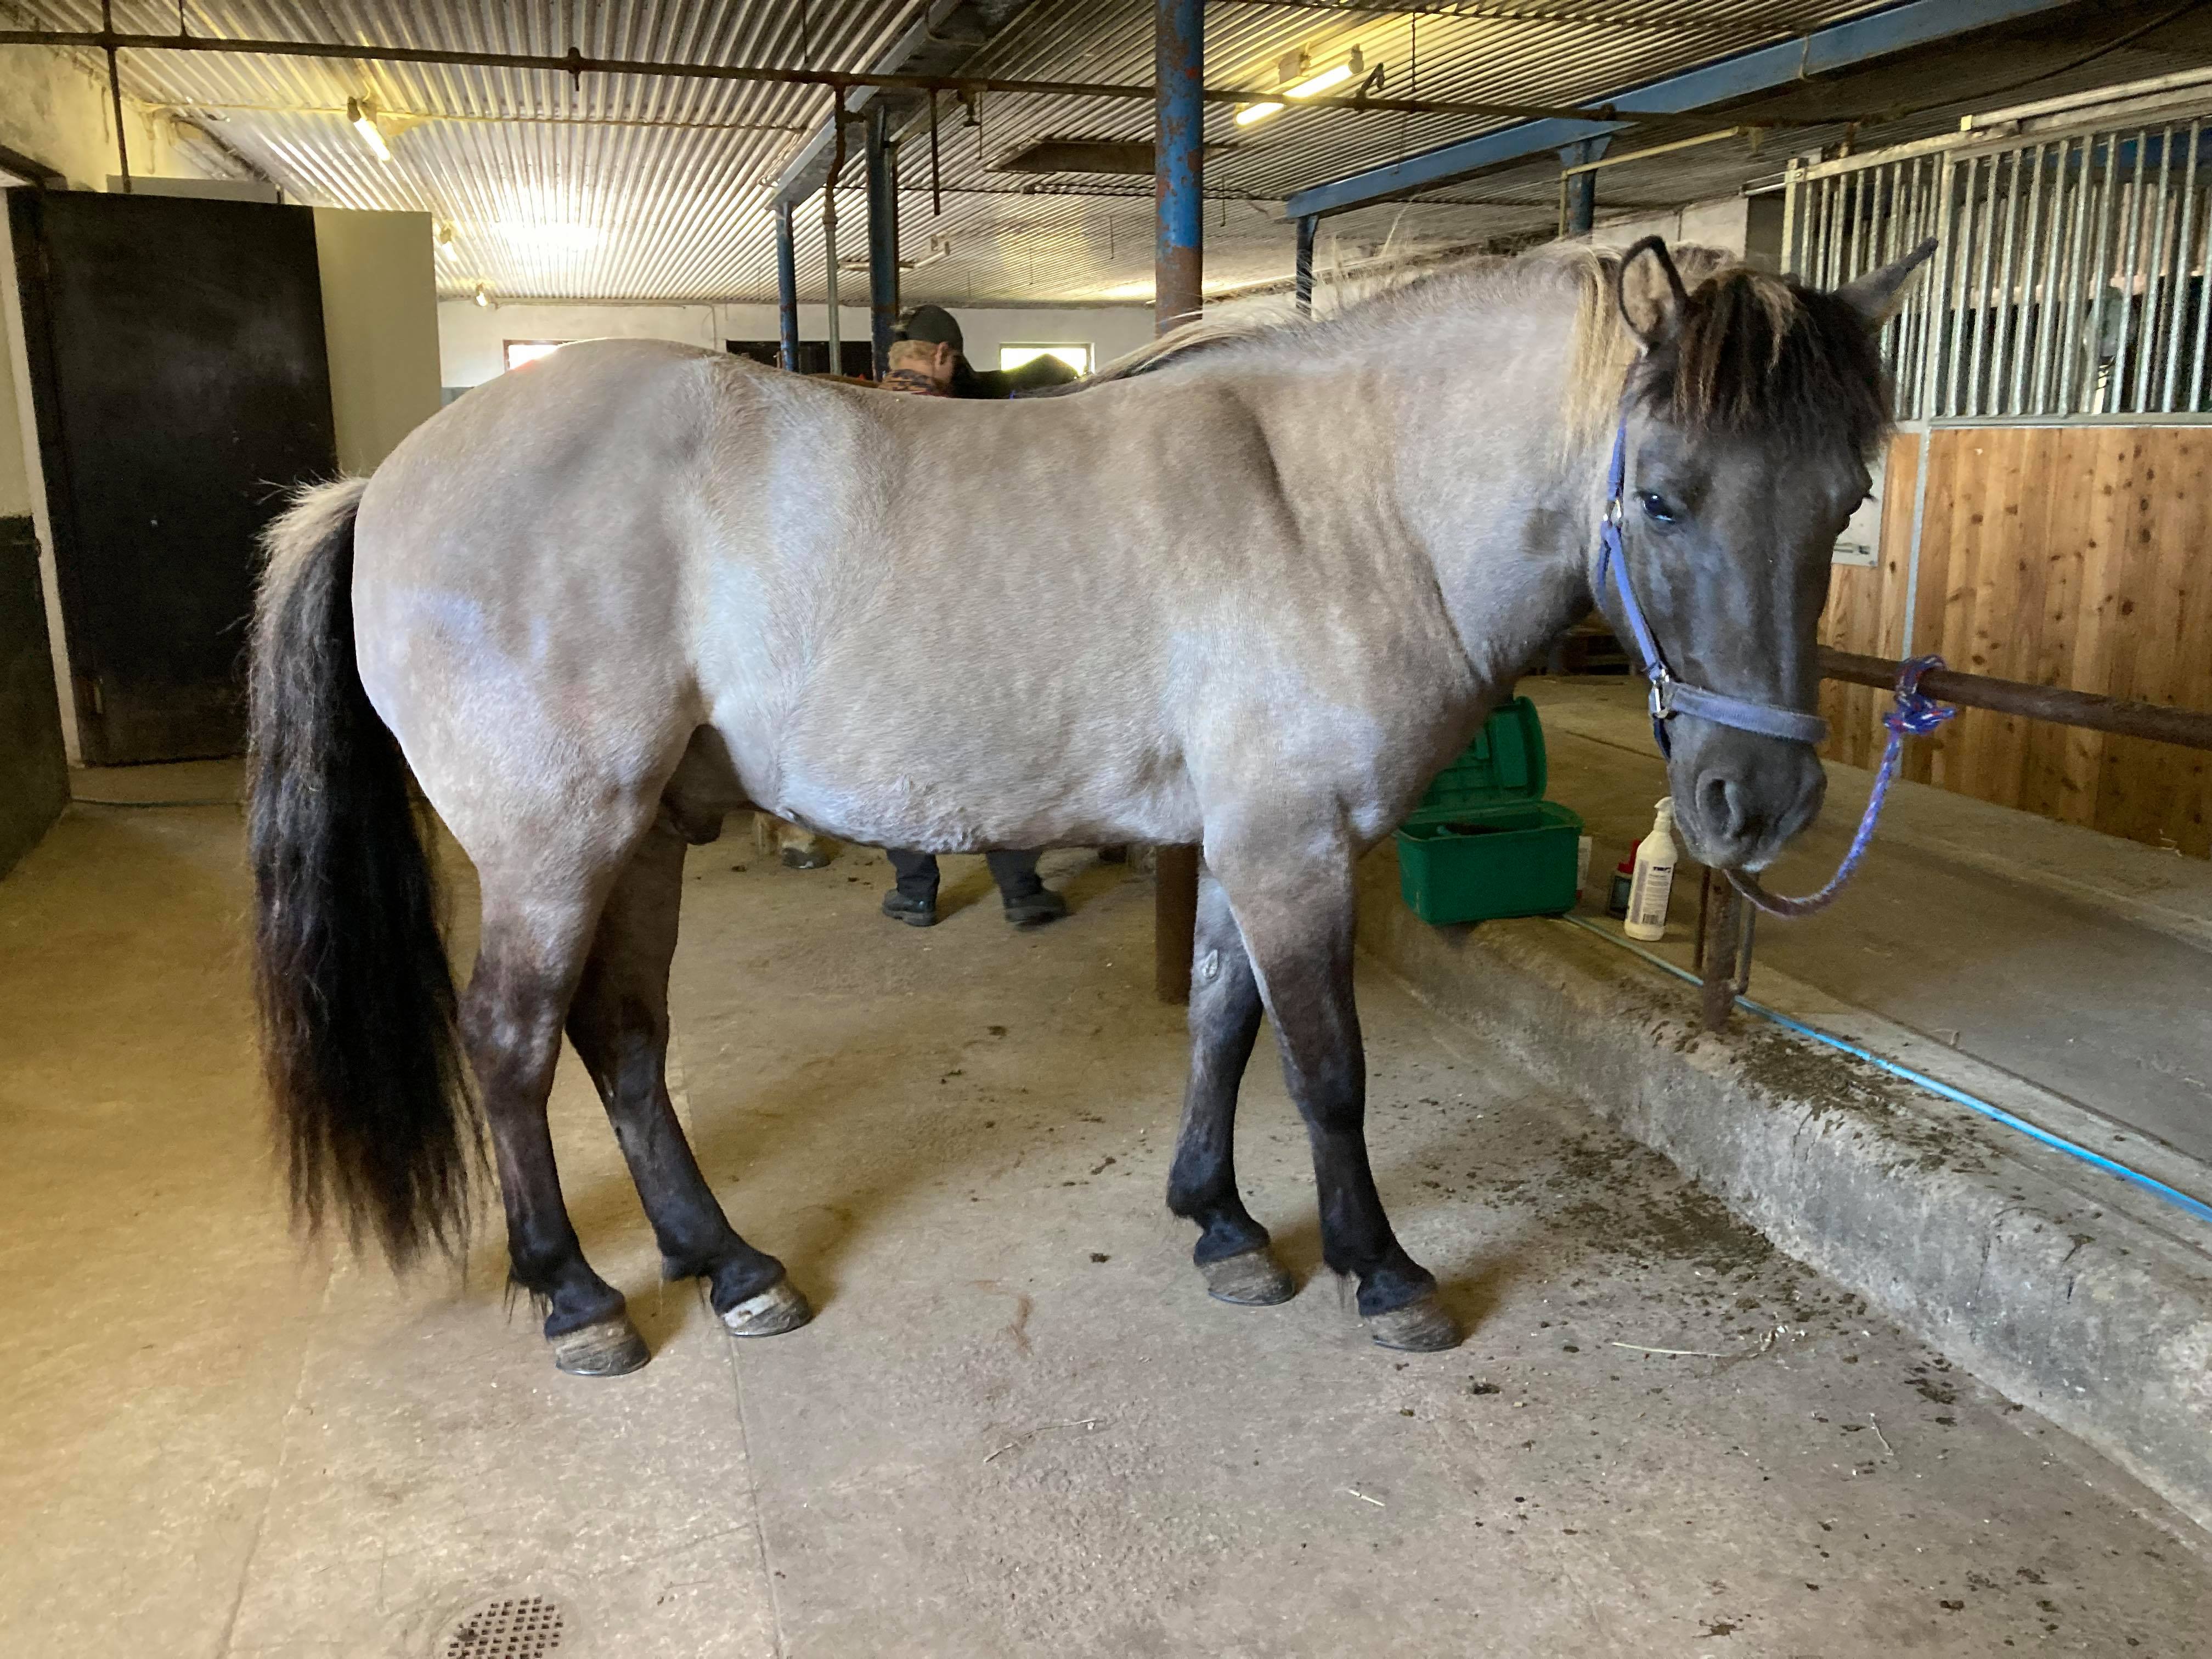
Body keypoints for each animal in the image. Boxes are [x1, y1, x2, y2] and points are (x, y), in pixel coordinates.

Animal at [248, 236, 1932, 1376]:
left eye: (1846, 498)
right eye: (1660, 496)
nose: (1756, 803)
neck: (1337, 503)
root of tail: (384, 484)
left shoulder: (1251, 842)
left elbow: (1223, 1025)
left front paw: (1224, 1226)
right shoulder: (1292, 846)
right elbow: (1328, 1068)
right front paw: (1381, 1273)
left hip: (648, 832)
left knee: (624, 1042)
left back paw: (725, 1265)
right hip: (558, 842)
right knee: (513, 1043)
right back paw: (578, 1296)